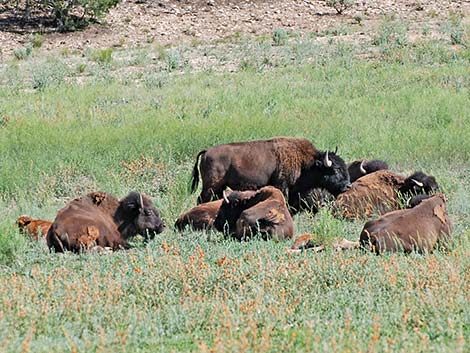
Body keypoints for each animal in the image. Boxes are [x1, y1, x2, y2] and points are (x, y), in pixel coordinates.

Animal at [190, 135, 348, 206]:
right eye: (336, 170)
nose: (347, 186)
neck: (305, 162)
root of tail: (206, 152)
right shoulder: (282, 186)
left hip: (218, 188)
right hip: (211, 186)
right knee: (201, 199)